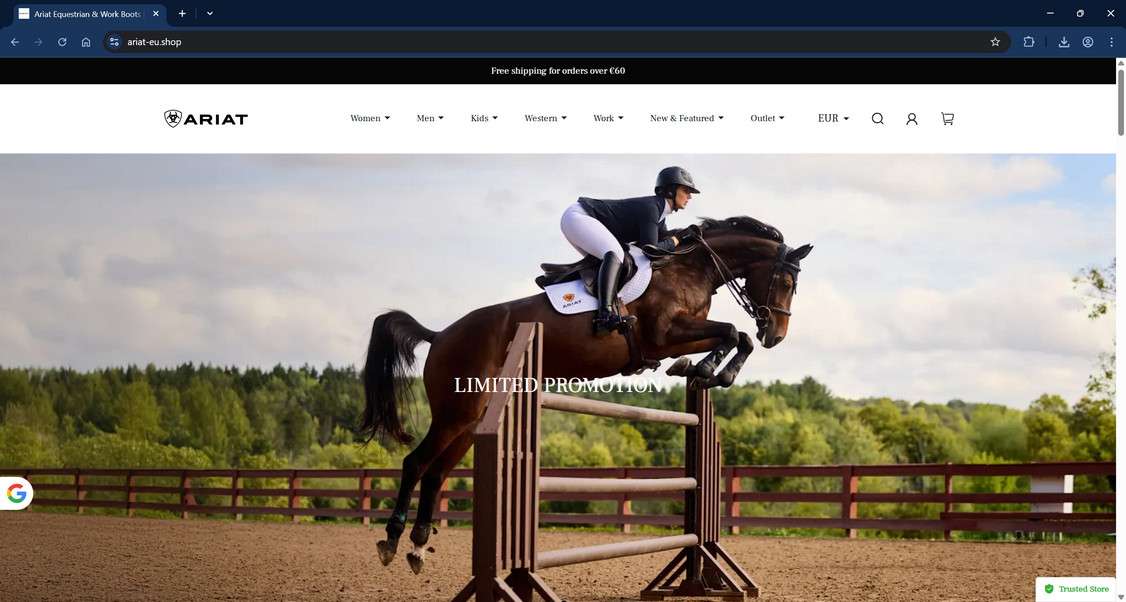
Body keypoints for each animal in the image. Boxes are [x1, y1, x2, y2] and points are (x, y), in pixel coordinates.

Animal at [360, 216, 812, 574]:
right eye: (786, 281)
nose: (775, 335)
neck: (691, 268)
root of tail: (440, 335)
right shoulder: (665, 334)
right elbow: (731, 332)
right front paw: (704, 370)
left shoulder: (676, 337)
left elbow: (734, 337)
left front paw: (701, 371)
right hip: (455, 412)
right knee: (416, 463)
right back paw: (391, 541)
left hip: (471, 419)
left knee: (436, 472)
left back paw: (418, 547)